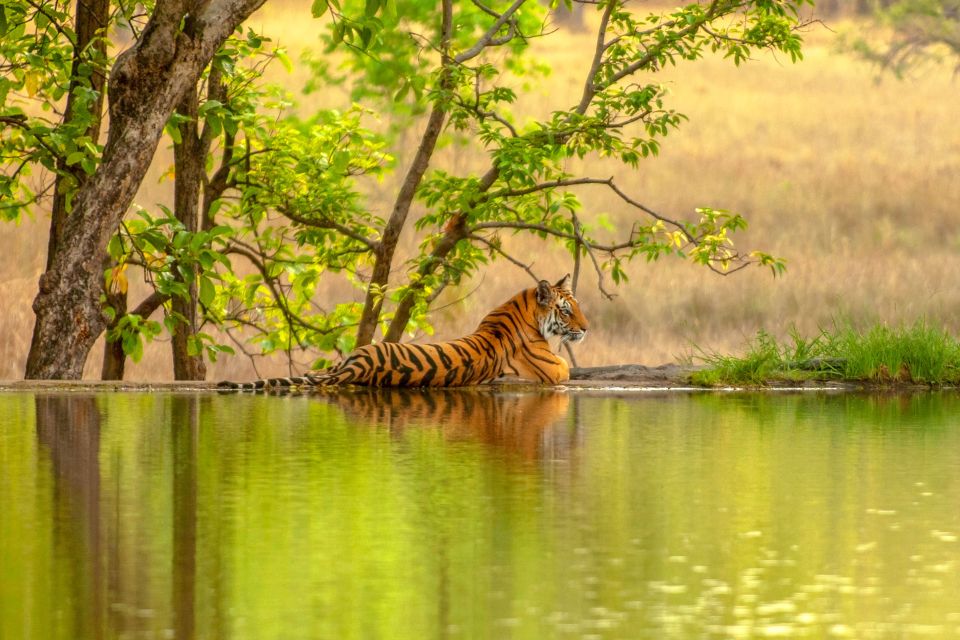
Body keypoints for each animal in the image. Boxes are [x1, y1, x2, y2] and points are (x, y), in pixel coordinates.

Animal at [218, 274, 588, 390]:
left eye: (577, 306)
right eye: (567, 310)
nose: (586, 329)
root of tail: (357, 366)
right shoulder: (555, 369)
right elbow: (567, 368)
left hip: (346, 359)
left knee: (316, 373)